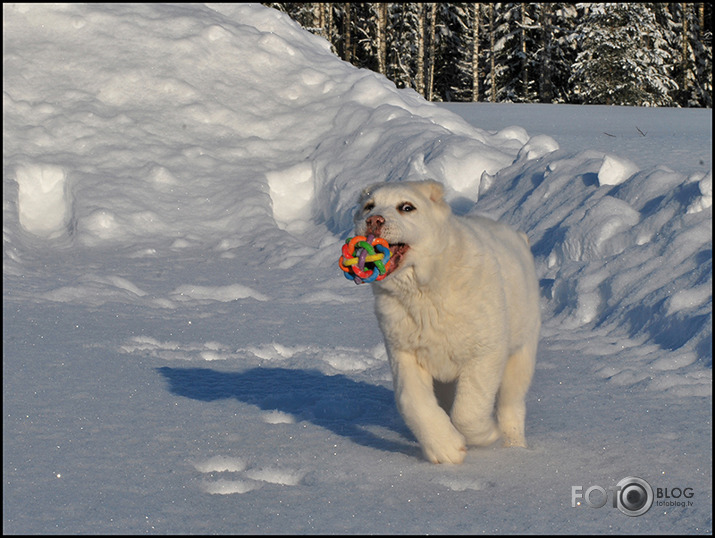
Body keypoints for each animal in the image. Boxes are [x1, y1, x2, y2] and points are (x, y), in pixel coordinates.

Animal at [356, 179, 540, 460]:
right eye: (369, 206)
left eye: (406, 207)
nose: (373, 220)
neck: (424, 291)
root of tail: (519, 237)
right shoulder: (403, 348)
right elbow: (411, 400)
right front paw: (446, 448)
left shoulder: (485, 350)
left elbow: (468, 409)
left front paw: (487, 435)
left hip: (522, 348)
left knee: (511, 401)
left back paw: (513, 444)